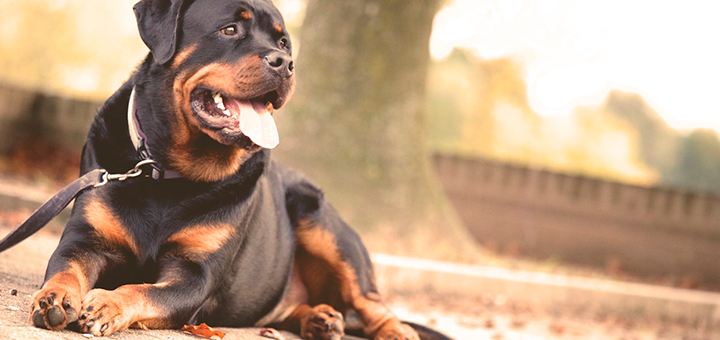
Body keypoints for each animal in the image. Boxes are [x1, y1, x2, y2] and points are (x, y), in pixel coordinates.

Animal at [29, 0, 456, 340]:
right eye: (230, 29)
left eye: (283, 43)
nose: (285, 63)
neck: (167, 170)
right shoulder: (86, 238)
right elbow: (66, 266)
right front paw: (56, 296)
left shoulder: (195, 275)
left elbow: (144, 290)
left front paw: (108, 304)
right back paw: (320, 319)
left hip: (323, 224)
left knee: (372, 303)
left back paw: (393, 331)